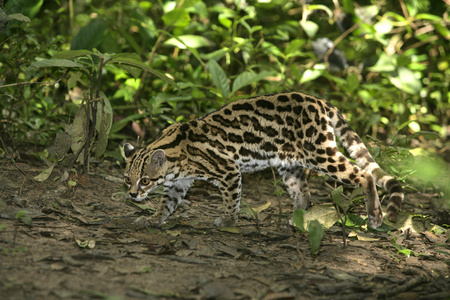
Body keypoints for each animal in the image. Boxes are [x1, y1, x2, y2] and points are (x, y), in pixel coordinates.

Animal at [123, 91, 404, 227]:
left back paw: (375, 213)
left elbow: (231, 200)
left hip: (320, 152)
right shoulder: (179, 183)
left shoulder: (228, 171)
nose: (132, 195)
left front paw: (228, 220)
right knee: (304, 194)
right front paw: (153, 219)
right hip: (290, 166)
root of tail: (321, 102)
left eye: (145, 180)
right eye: (127, 179)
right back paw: (298, 219)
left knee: (364, 174)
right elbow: (166, 204)